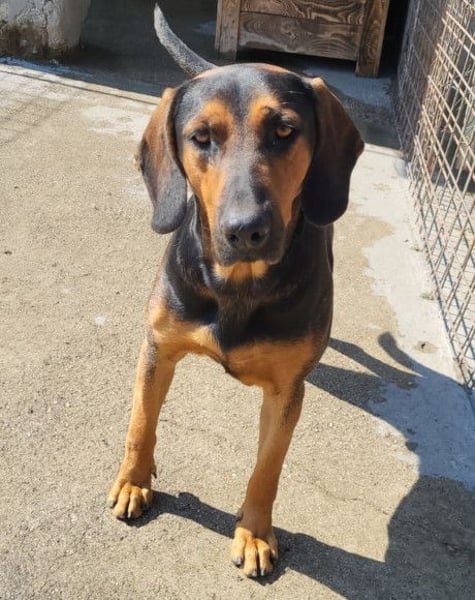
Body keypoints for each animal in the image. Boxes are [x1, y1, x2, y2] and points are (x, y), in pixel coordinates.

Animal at [108, 4, 364, 578]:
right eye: (201, 136)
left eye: (285, 130)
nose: (246, 230)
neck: (238, 286)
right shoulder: (157, 348)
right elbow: (140, 422)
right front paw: (133, 480)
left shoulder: (287, 390)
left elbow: (267, 469)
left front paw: (255, 532)